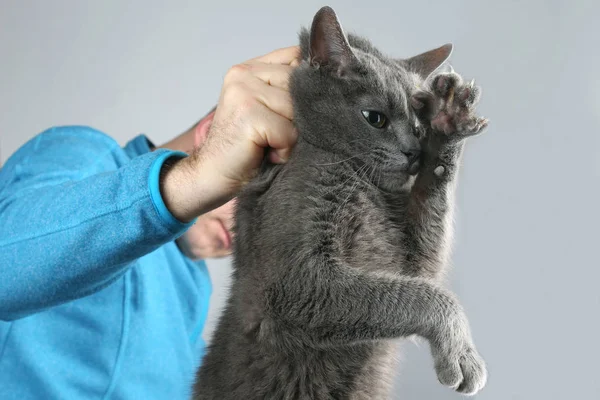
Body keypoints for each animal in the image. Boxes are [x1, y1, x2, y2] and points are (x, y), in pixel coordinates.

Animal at [195, 6, 490, 400]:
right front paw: (463, 356)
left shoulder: (412, 260)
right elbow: (423, 296)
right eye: (375, 118)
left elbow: (425, 271)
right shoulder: (294, 281)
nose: (413, 152)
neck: (364, 186)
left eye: (418, 127)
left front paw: (448, 120)